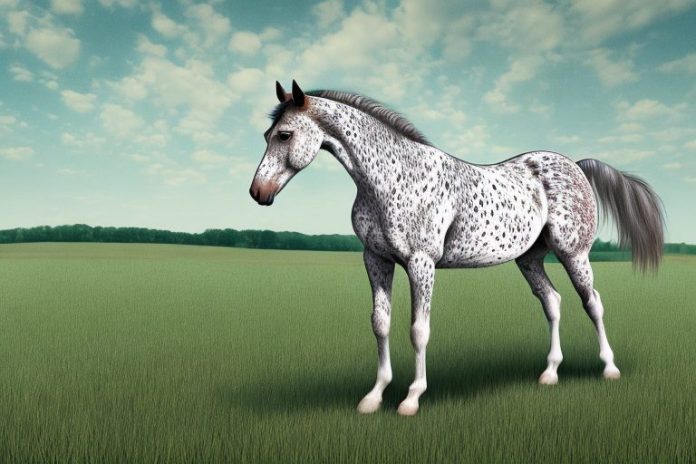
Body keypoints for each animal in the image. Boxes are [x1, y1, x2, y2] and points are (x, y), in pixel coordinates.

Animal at [249, 80, 665, 416]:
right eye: (267, 133)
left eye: (284, 135)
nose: (258, 193)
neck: (393, 176)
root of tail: (574, 166)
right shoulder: (376, 260)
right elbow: (380, 324)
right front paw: (373, 396)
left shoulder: (421, 263)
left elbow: (418, 330)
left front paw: (411, 399)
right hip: (529, 259)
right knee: (553, 302)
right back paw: (549, 373)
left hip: (574, 253)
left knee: (592, 302)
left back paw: (609, 368)